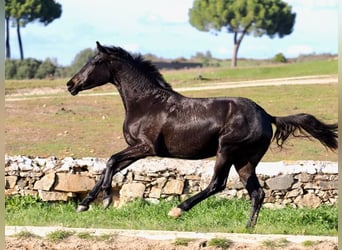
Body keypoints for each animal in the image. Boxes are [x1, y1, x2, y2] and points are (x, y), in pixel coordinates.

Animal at [67, 42, 336, 228]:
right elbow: (109, 166)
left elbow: (111, 160)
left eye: (95, 61)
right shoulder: (137, 151)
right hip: (245, 161)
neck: (146, 103)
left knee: (218, 184)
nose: (70, 84)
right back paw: (248, 228)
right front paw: (84, 204)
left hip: (226, 151)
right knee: (257, 193)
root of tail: (267, 115)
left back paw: (178, 210)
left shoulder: (146, 147)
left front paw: (105, 199)